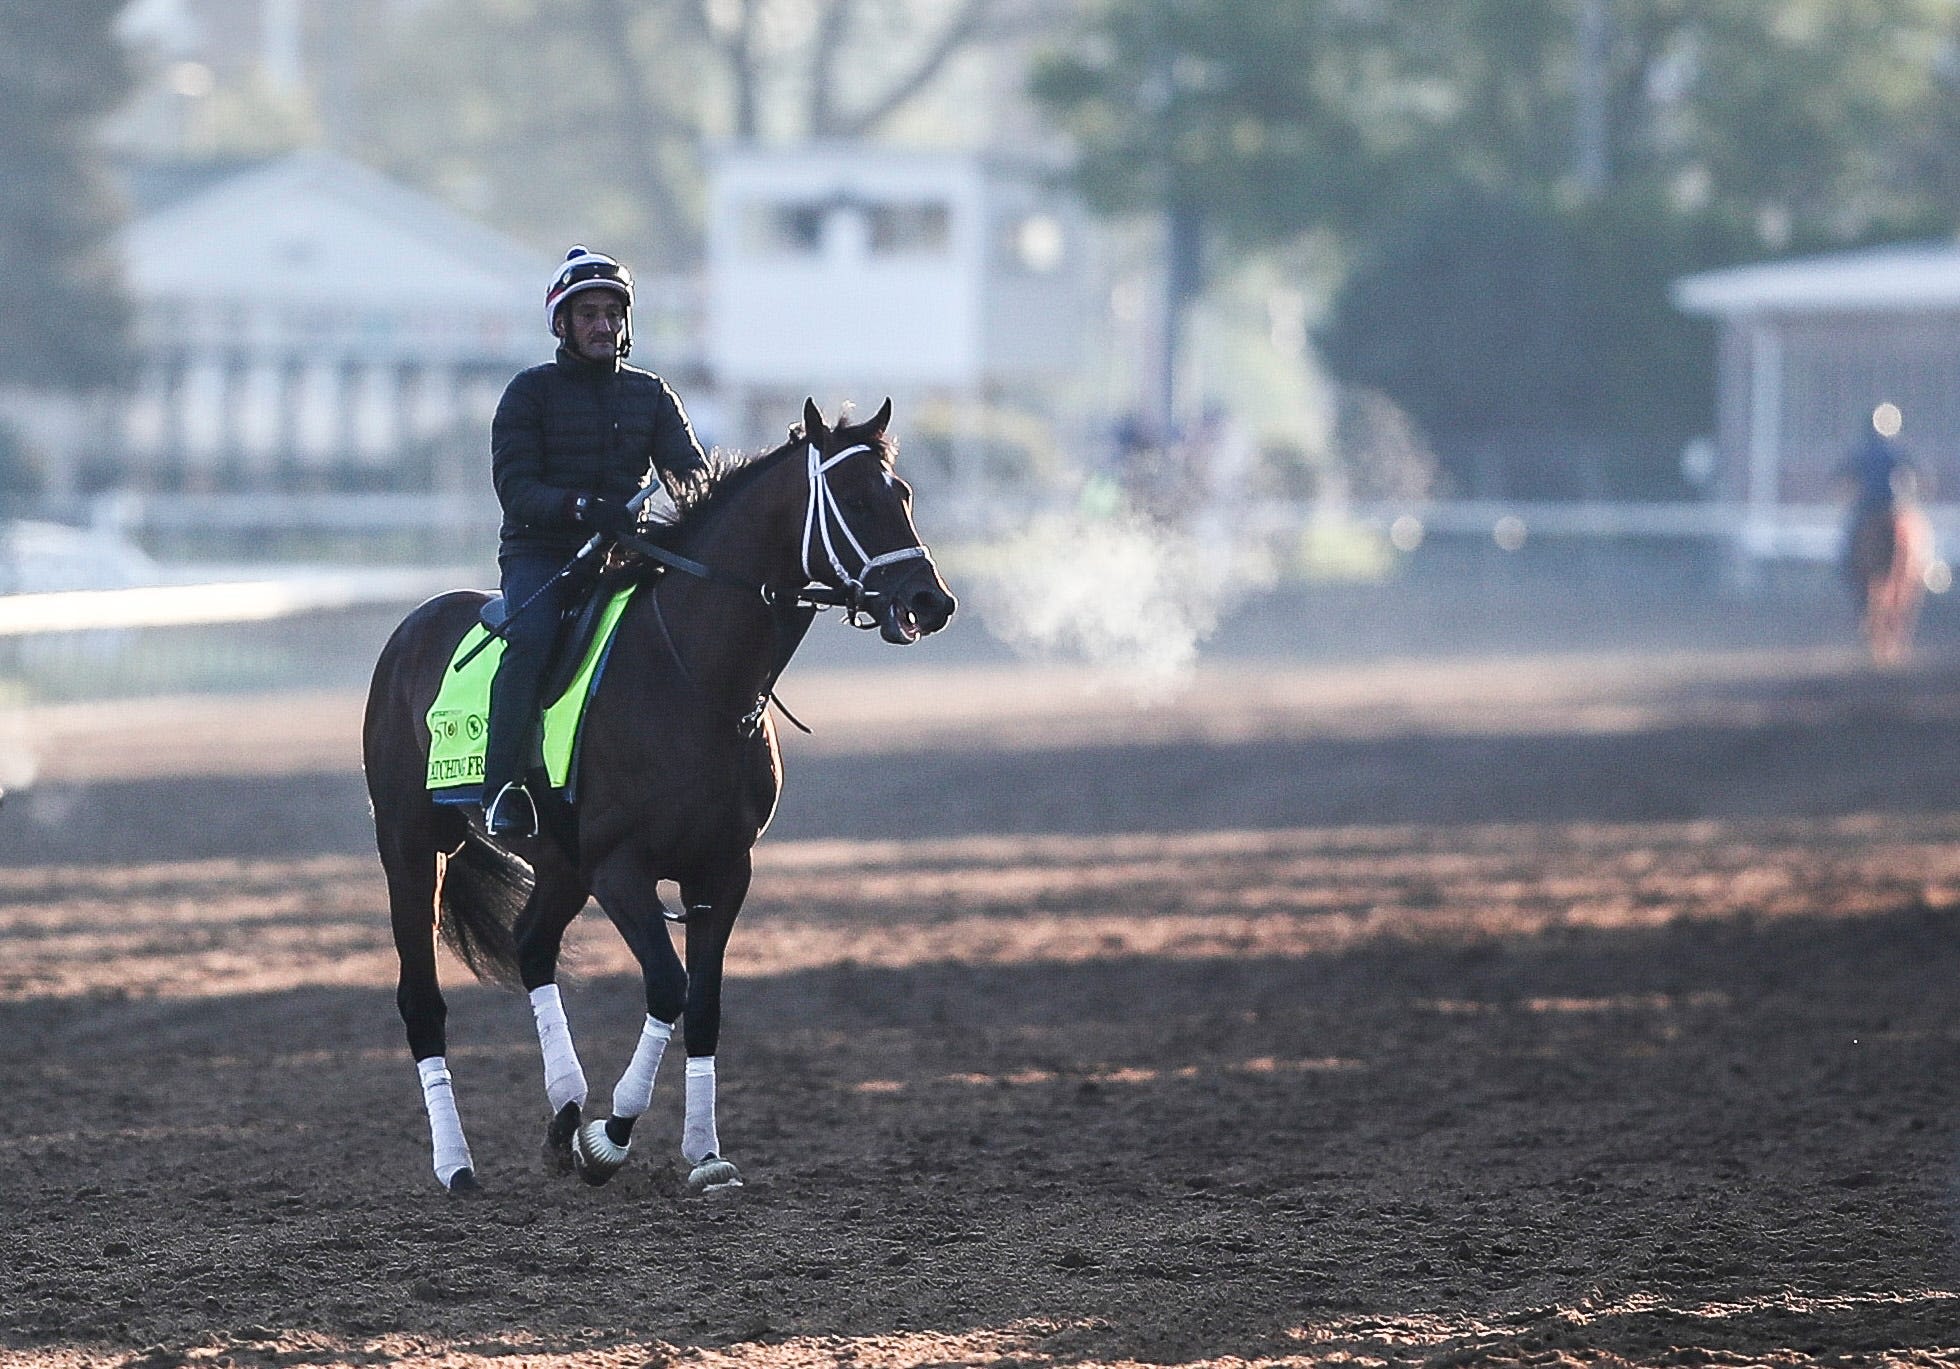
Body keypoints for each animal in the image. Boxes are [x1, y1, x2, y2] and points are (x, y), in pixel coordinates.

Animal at [366, 394, 956, 1184]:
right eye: (856, 499)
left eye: (904, 495)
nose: (929, 599)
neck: (696, 678)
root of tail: (410, 627)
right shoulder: (623, 868)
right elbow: (669, 986)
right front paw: (611, 1133)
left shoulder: (723, 869)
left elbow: (703, 1003)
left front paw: (702, 1151)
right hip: (411, 845)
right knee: (421, 1001)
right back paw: (457, 1162)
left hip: (561, 862)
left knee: (531, 944)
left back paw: (563, 1110)